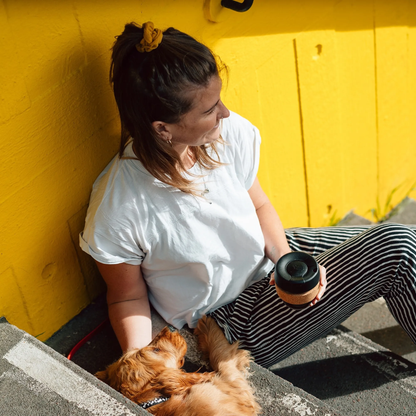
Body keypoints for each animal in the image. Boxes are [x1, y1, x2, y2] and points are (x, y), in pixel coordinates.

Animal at [96, 316, 262, 416]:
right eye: (156, 350)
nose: (170, 327)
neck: (157, 400)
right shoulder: (231, 390)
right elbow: (221, 361)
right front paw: (211, 325)